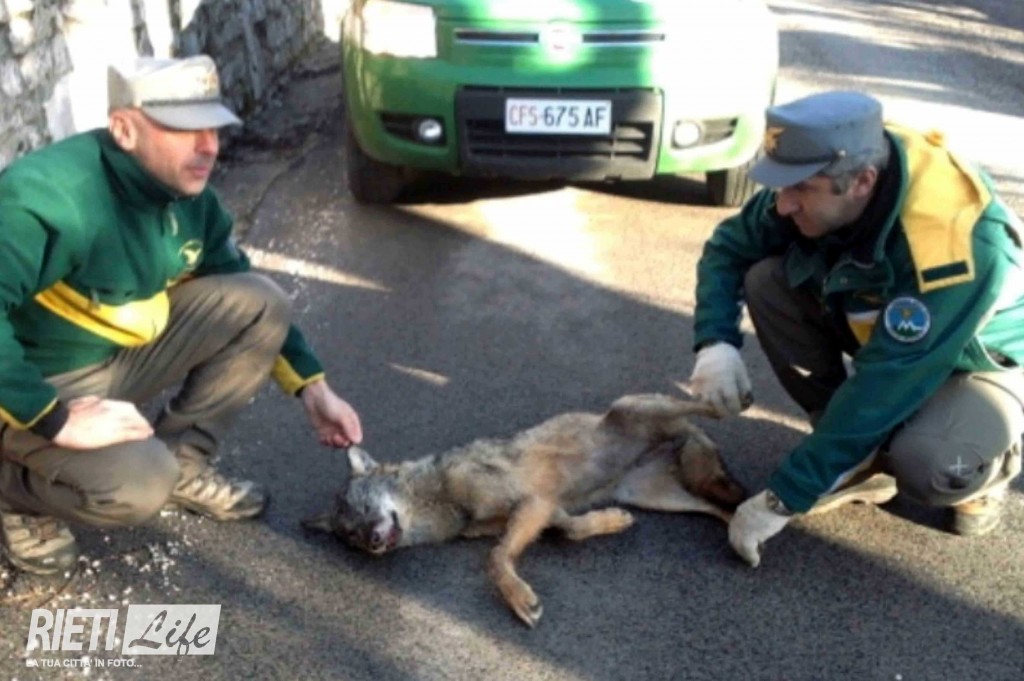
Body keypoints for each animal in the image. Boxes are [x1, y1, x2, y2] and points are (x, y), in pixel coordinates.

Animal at [303, 393, 746, 627]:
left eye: (366, 508)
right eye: (352, 535)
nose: (374, 542)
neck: (442, 499)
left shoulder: (534, 502)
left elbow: (495, 558)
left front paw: (518, 598)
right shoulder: (546, 509)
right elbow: (570, 530)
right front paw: (609, 522)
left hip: (639, 408)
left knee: (700, 405)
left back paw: (729, 397)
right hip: (657, 496)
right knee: (720, 508)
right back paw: (747, 530)